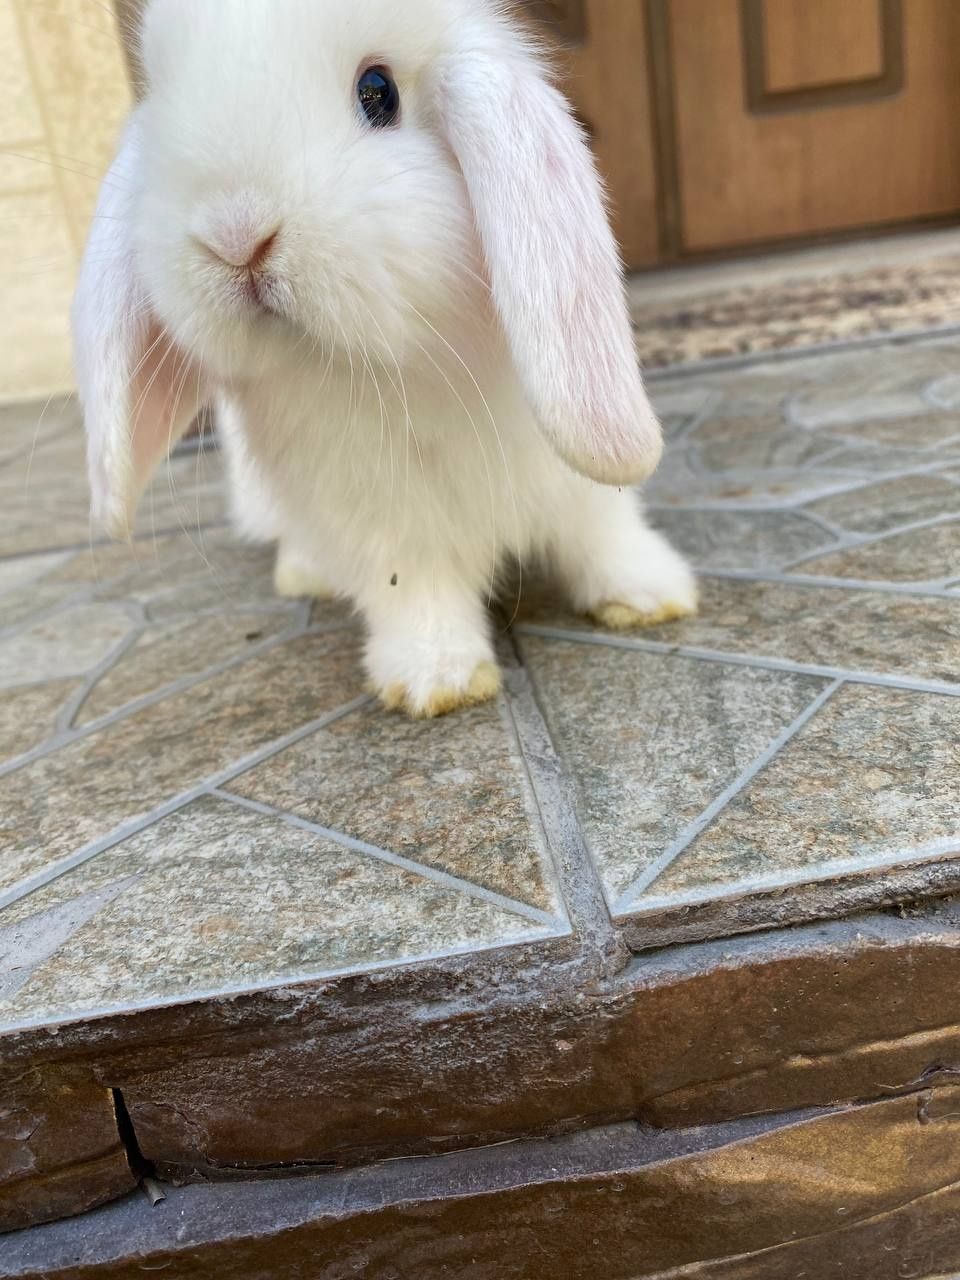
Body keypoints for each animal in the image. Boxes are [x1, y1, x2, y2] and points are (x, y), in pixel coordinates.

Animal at [73, 0, 697, 718]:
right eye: (164, 101)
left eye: (379, 92)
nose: (234, 238)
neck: (404, 367)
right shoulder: (380, 521)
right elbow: (414, 588)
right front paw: (438, 681)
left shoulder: (574, 480)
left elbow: (604, 532)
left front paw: (650, 596)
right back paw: (304, 575)